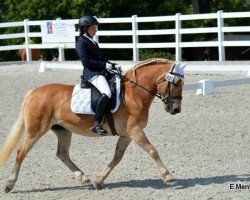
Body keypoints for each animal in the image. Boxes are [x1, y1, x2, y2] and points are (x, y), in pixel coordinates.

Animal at [0, 57, 184, 191]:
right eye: (175, 82)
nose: (176, 109)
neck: (134, 93)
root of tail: (33, 92)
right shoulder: (135, 130)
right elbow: (152, 151)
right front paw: (168, 176)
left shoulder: (127, 134)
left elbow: (117, 157)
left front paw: (98, 180)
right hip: (36, 130)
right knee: (21, 152)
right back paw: (9, 184)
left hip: (63, 130)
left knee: (62, 154)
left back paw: (83, 178)